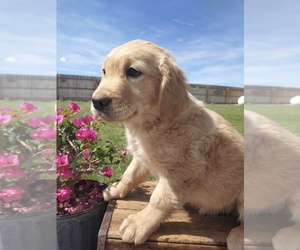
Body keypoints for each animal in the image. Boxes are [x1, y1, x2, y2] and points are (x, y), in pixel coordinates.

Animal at [91, 40, 244, 249]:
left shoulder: (182, 171)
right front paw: (116, 189)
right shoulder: (142, 156)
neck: (153, 122)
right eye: (104, 71)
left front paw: (139, 224)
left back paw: (240, 237)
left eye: (133, 72)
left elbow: (159, 199)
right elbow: (130, 175)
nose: (97, 102)